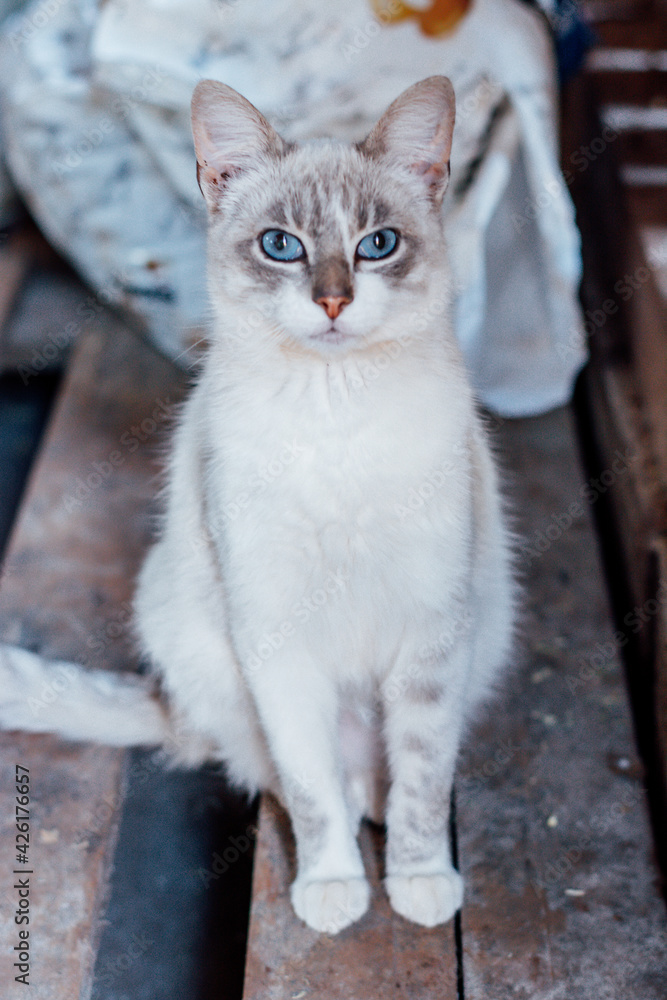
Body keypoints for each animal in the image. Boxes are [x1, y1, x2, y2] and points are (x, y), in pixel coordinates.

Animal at [0, 78, 516, 936]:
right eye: (281, 246)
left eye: (377, 244)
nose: (334, 301)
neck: (336, 413)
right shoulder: (276, 639)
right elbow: (310, 788)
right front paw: (334, 887)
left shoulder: (431, 637)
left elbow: (418, 778)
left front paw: (417, 882)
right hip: (198, 642)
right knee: (282, 769)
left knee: (383, 779)